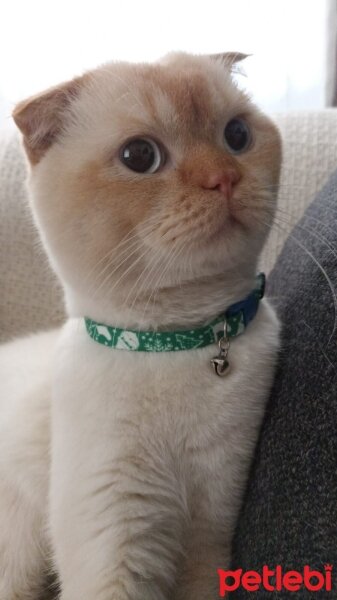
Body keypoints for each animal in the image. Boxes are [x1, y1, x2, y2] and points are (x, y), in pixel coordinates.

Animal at [0, 52, 280, 600]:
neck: (174, 340)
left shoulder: (210, 533)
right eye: (139, 156)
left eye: (236, 135)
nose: (223, 178)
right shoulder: (116, 541)